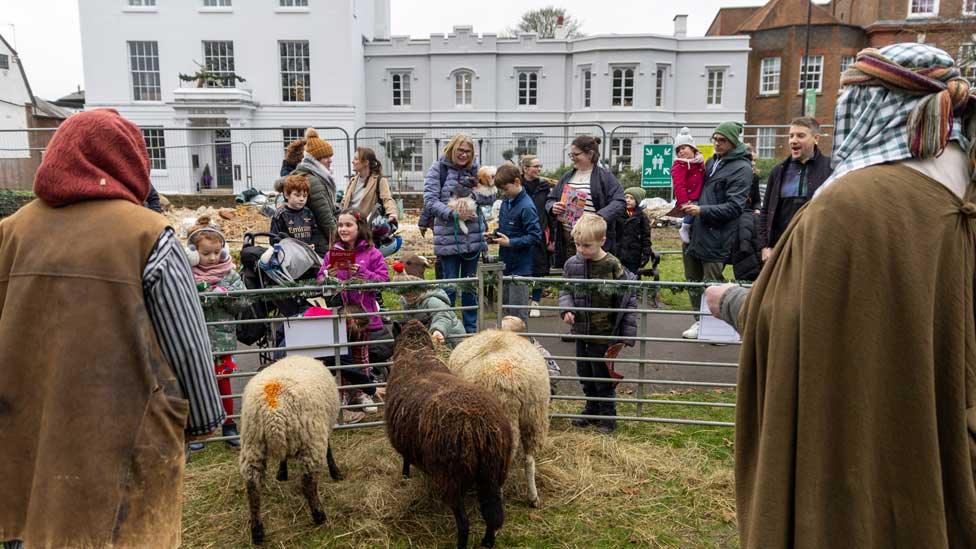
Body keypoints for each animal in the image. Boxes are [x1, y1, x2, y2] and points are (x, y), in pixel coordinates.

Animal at [237, 356, 342, 544]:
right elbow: (329, 450)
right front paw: (335, 472)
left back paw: (257, 532)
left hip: (252, 444)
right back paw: (319, 516)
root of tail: (272, 412)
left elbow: (282, 458)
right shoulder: (322, 428)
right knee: (308, 484)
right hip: (311, 441)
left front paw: (281, 472)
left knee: (252, 487)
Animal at [386, 318, 516, 544]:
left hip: (452, 476)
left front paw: (405, 476)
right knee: (494, 514)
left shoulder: (404, 437)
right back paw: (488, 541)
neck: (415, 353)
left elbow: (405, 458)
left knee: (464, 524)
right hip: (494, 471)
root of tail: (482, 427)